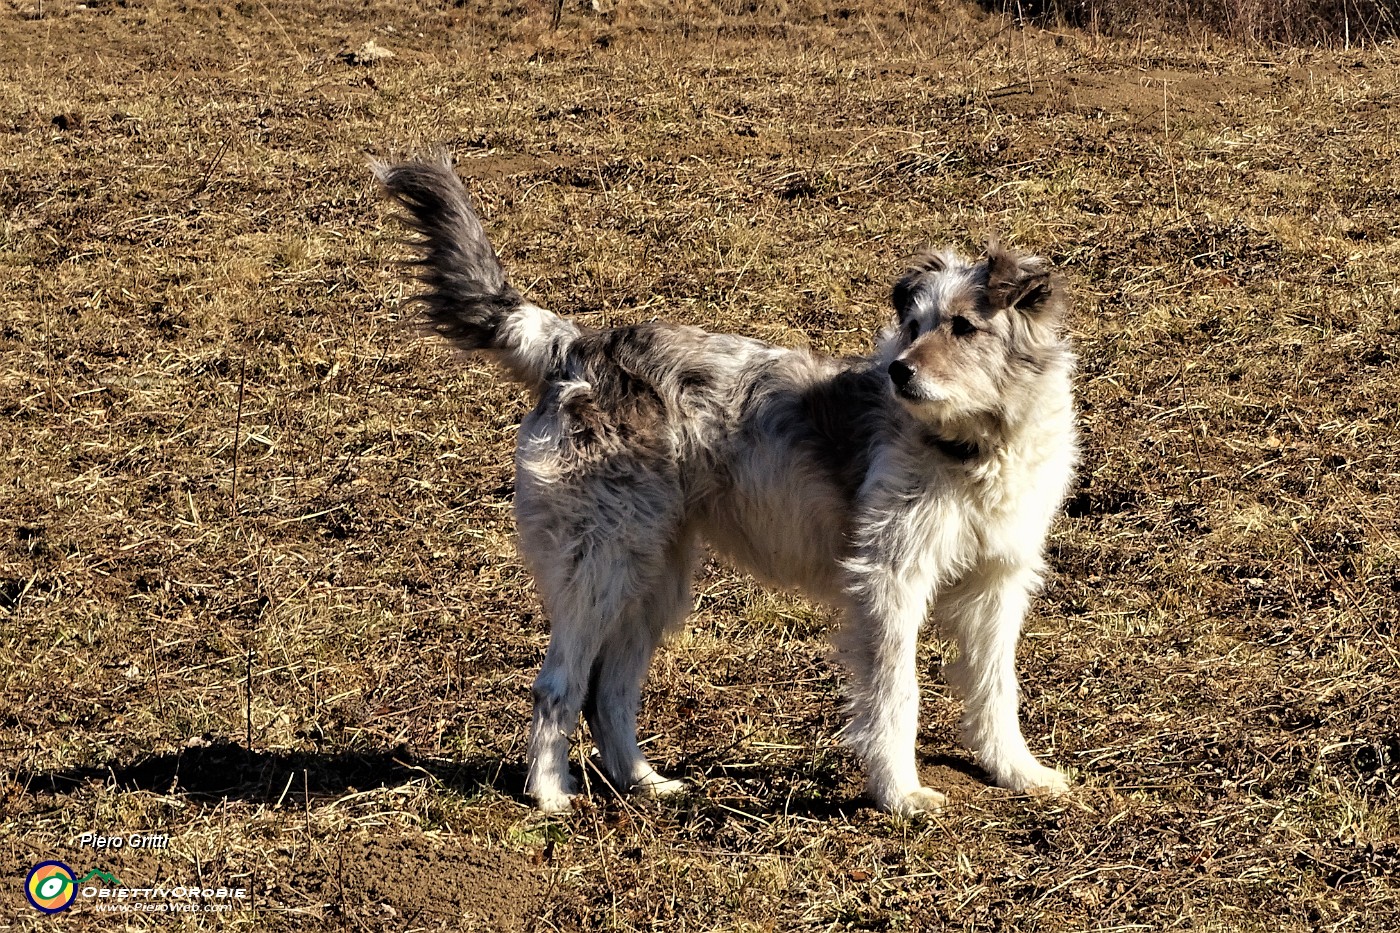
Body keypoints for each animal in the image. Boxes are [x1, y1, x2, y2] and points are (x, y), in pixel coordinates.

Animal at [378, 156, 1075, 812]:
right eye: (913, 326)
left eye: (963, 327)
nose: (899, 373)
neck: (973, 448)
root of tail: (578, 347)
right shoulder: (890, 583)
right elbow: (895, 696)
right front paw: (900, 795)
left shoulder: (997, 586)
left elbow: (997, 690)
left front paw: (1018, 772)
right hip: (601, 570)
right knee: (559, 686)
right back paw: (549, 792)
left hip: (653, 578)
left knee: (610, 690)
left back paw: (644, 783)